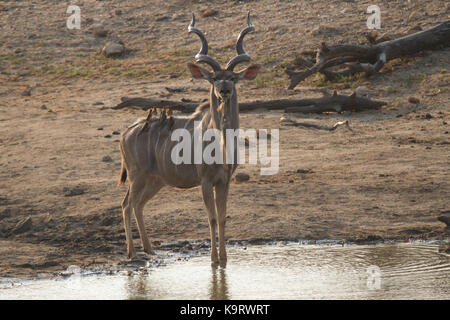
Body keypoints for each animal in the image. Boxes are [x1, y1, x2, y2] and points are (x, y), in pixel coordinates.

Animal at [118, 13, 260, 266]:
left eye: (233, 78)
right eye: (213, 78)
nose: (224, 90)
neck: (221, 144)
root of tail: (126, 132)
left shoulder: (224, 181)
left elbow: (222, 217)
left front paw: (224, 259)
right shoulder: (205, 181)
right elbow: (211, 218)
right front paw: (213, 260)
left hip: (155, 181)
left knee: (138, 205)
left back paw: (149, 249)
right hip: (137, 176)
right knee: (126, 205)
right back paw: (132, 252)